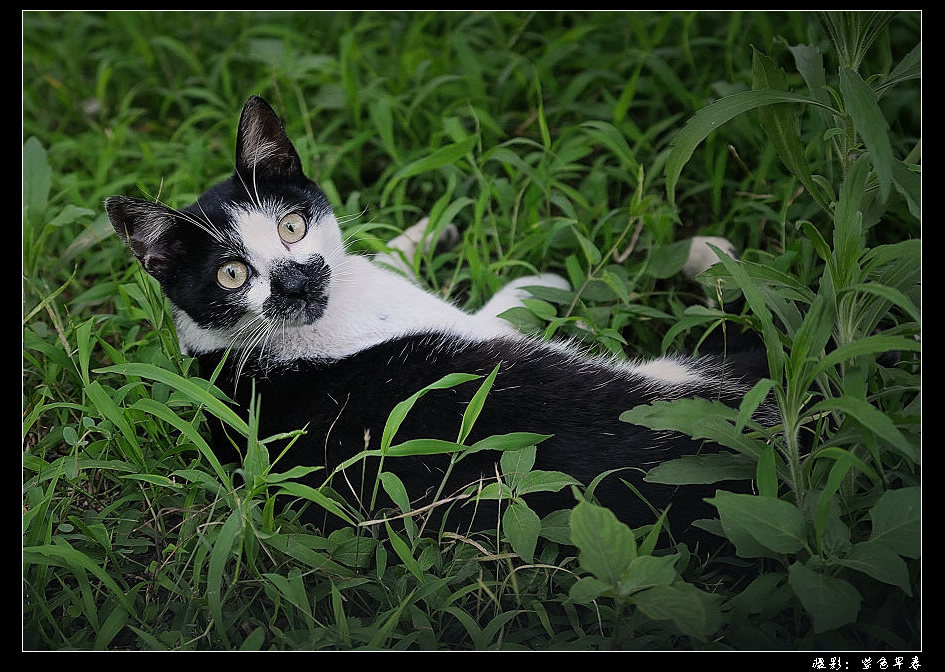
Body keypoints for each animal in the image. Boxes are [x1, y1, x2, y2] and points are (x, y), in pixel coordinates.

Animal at [107, 94, 772, 544]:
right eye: (232, 275)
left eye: (291, 226)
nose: (295, 280)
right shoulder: (478, 328)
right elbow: (509, 304)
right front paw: (545, 281)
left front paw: (423, 231)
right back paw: (713, 260)